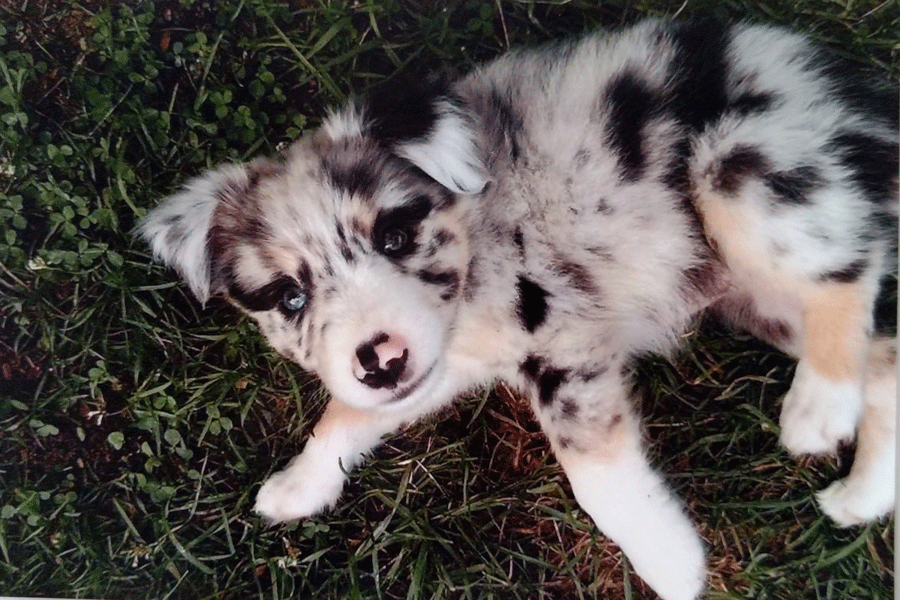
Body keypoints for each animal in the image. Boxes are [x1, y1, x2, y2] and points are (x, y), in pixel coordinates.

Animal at [141, 18, 892, 600]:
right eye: (291, 297)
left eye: (394, 237)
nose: (382, 361)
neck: (476, 243)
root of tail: (857, 95)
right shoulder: (431, 359)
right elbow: (343, 413)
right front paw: (300, 484)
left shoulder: (561, 340)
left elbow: (599, 482)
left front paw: (674, 566)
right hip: (760, 300)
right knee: (885, 354)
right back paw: (864, 492)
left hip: (744, 170)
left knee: (848, 274)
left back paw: (819, 409)